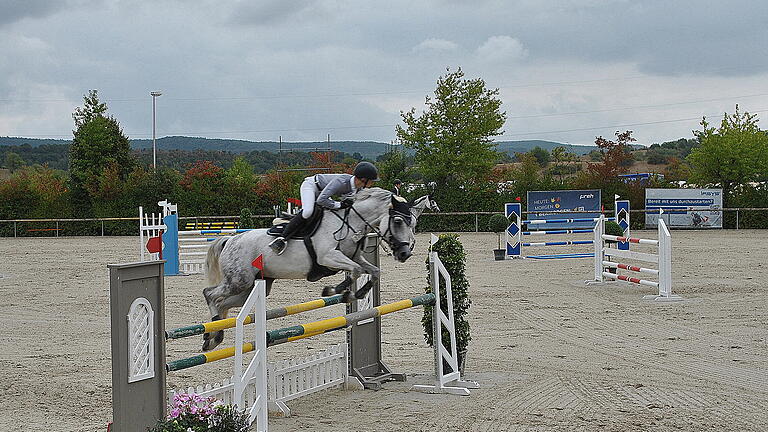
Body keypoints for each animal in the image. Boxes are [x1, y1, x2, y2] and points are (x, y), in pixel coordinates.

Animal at [200, 188, 438, 352]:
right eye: (397, 221)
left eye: (412, 223)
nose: (405, 253)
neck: (350, 221)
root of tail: (231, 240)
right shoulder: (329, 257)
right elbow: (355, 271)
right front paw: (336, 291)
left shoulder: (355, 256)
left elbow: (373, 271)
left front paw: (357, 293)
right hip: (239, 280)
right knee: (210, 294)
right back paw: (210, 336)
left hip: (254, 287)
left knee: (223, 303)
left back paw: (214, 338)